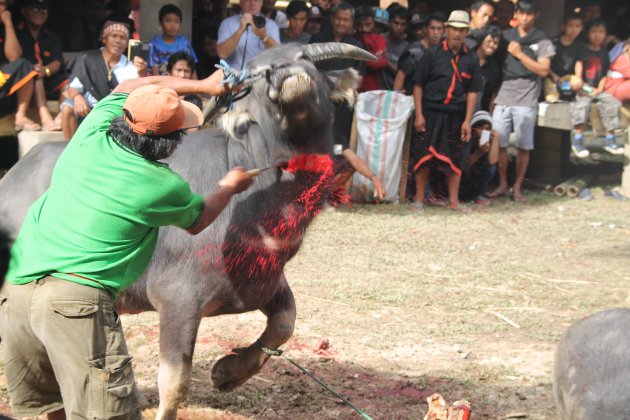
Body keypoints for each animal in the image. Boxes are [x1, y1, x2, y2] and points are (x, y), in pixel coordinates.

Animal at [0, 44, 376, 418]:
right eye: (255, 78)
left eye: (303, 59)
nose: (282, 74)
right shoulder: (178, 300)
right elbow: (175, 381)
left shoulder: (263, 283)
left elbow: (285, 323)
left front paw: (227, 372)